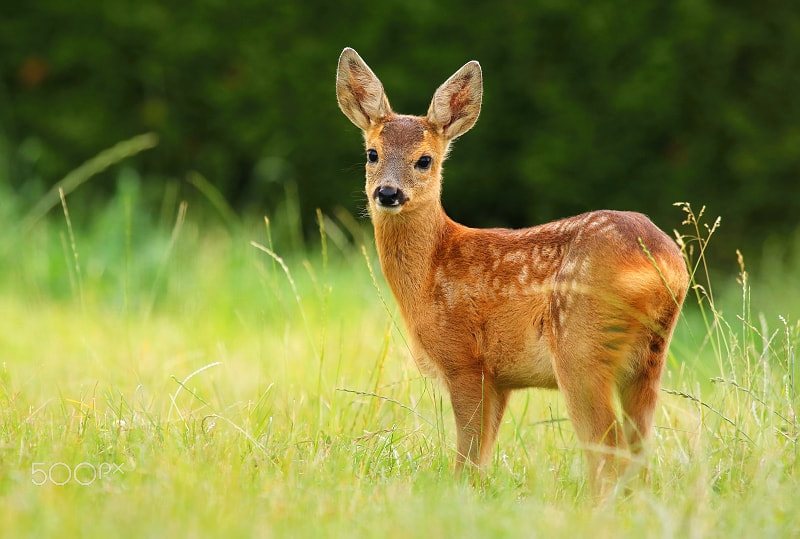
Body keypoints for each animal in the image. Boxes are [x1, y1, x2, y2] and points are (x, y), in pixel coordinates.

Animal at [334, 48, 692, 496]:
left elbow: (468, 452)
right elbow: (484, 454)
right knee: (639, 445)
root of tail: (666, 264)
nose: (388, 193)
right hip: (649, 358)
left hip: (580, 346)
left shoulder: (465, 359)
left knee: (607, 446)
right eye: (372, 154)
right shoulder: (501, 378)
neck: (431, 269)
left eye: (424, 160)